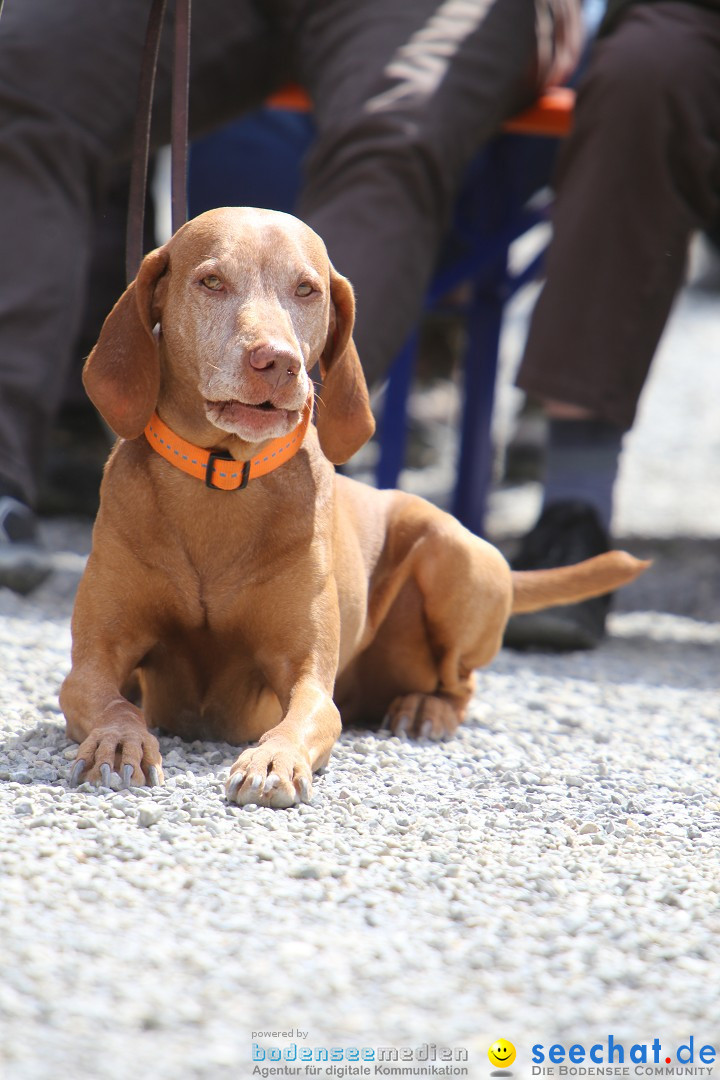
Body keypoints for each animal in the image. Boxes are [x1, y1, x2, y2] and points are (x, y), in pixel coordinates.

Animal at [60, 206, 647, 807]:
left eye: (306, 289)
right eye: (211, 281)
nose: (277, 361)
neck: (220, 481)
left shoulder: (310, 677)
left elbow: (300, 718)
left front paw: (272, 758)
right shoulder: (94, 661)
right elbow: (115, 703)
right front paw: (118, 742)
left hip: (451, 550)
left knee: (460, 682)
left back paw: (426, 709)